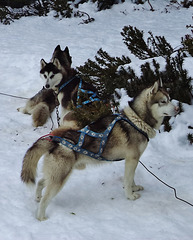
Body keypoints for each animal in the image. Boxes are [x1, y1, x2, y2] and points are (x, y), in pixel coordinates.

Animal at [20, 81, 179, 221]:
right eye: (163, 101)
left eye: (170, 99)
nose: (177, 109)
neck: (138, 121)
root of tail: (55, 141)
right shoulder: (132, 159)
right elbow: (127, 180)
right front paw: (130, 195)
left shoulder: (132, 161)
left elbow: (131, 178)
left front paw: (134, 188)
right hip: (59, 179)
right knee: (45, 199)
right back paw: (41, 217)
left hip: (56, 174)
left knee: (41, 182)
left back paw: (37, 197)